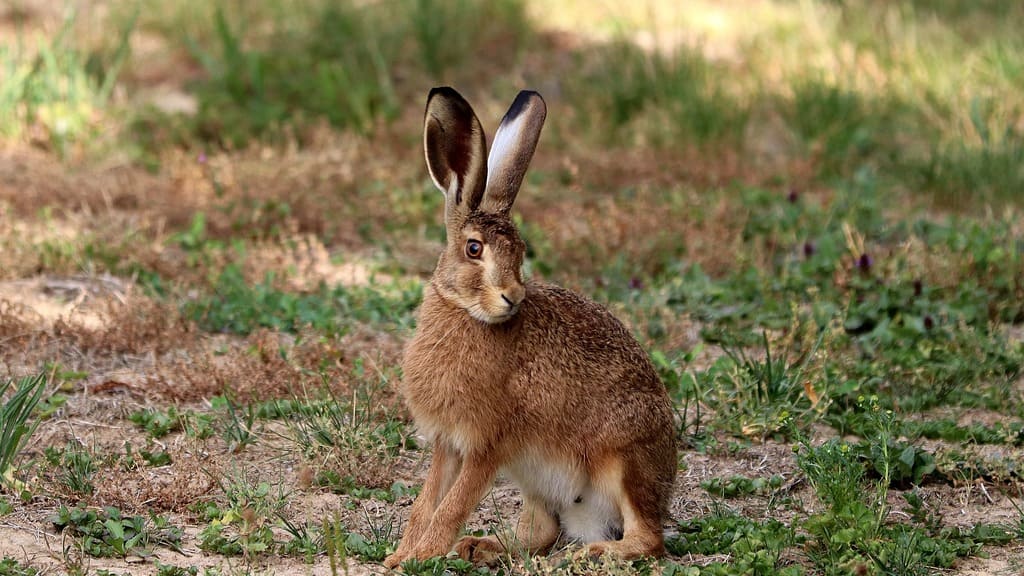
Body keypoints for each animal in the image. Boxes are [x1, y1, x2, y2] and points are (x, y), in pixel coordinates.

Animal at [382, 87, 677, 569]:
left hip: (623, 460)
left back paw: (595, 553)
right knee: (542, 533)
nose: (513, 297)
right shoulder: (448, 444)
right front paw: (402, 555)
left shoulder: (488, 444)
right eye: (474, 249)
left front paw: (418, 558)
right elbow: (427, 502)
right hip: (536, 480)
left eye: (521, 251)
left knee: (649, 539)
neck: (467, 314)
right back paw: (479, 547)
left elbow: (452, 506)